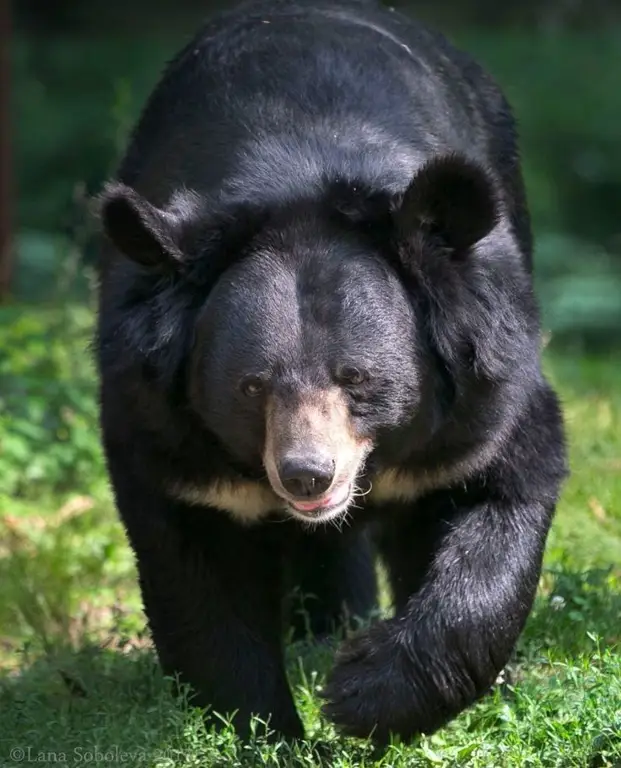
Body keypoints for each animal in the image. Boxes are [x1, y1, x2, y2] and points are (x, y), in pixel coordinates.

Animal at [97, 0, 568, 744]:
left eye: (359, 378)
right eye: (250, 386)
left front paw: (361, 694)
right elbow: (199, 575)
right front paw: (264, 730)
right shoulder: (165, 432)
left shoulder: (483, 391)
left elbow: (501, 494)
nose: (305, 475)